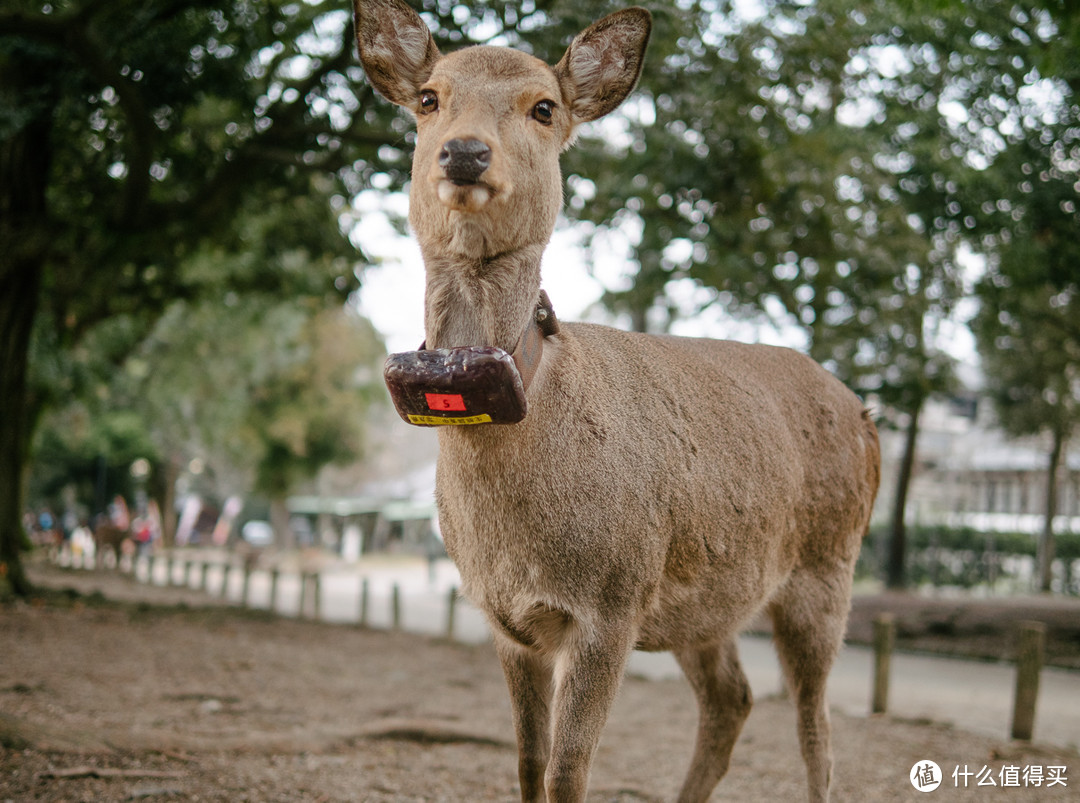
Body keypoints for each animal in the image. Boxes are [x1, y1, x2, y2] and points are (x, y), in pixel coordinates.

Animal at [354, 3, 876, 798]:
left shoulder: (612, 599)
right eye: (428, 98)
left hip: (827, 566)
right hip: (707, 600)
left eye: (544, 107)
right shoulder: (504, 616)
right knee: (732, 697)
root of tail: (869, 415)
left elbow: (569, 770)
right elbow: (527, 763)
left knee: (815, 727)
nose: (465, 153)